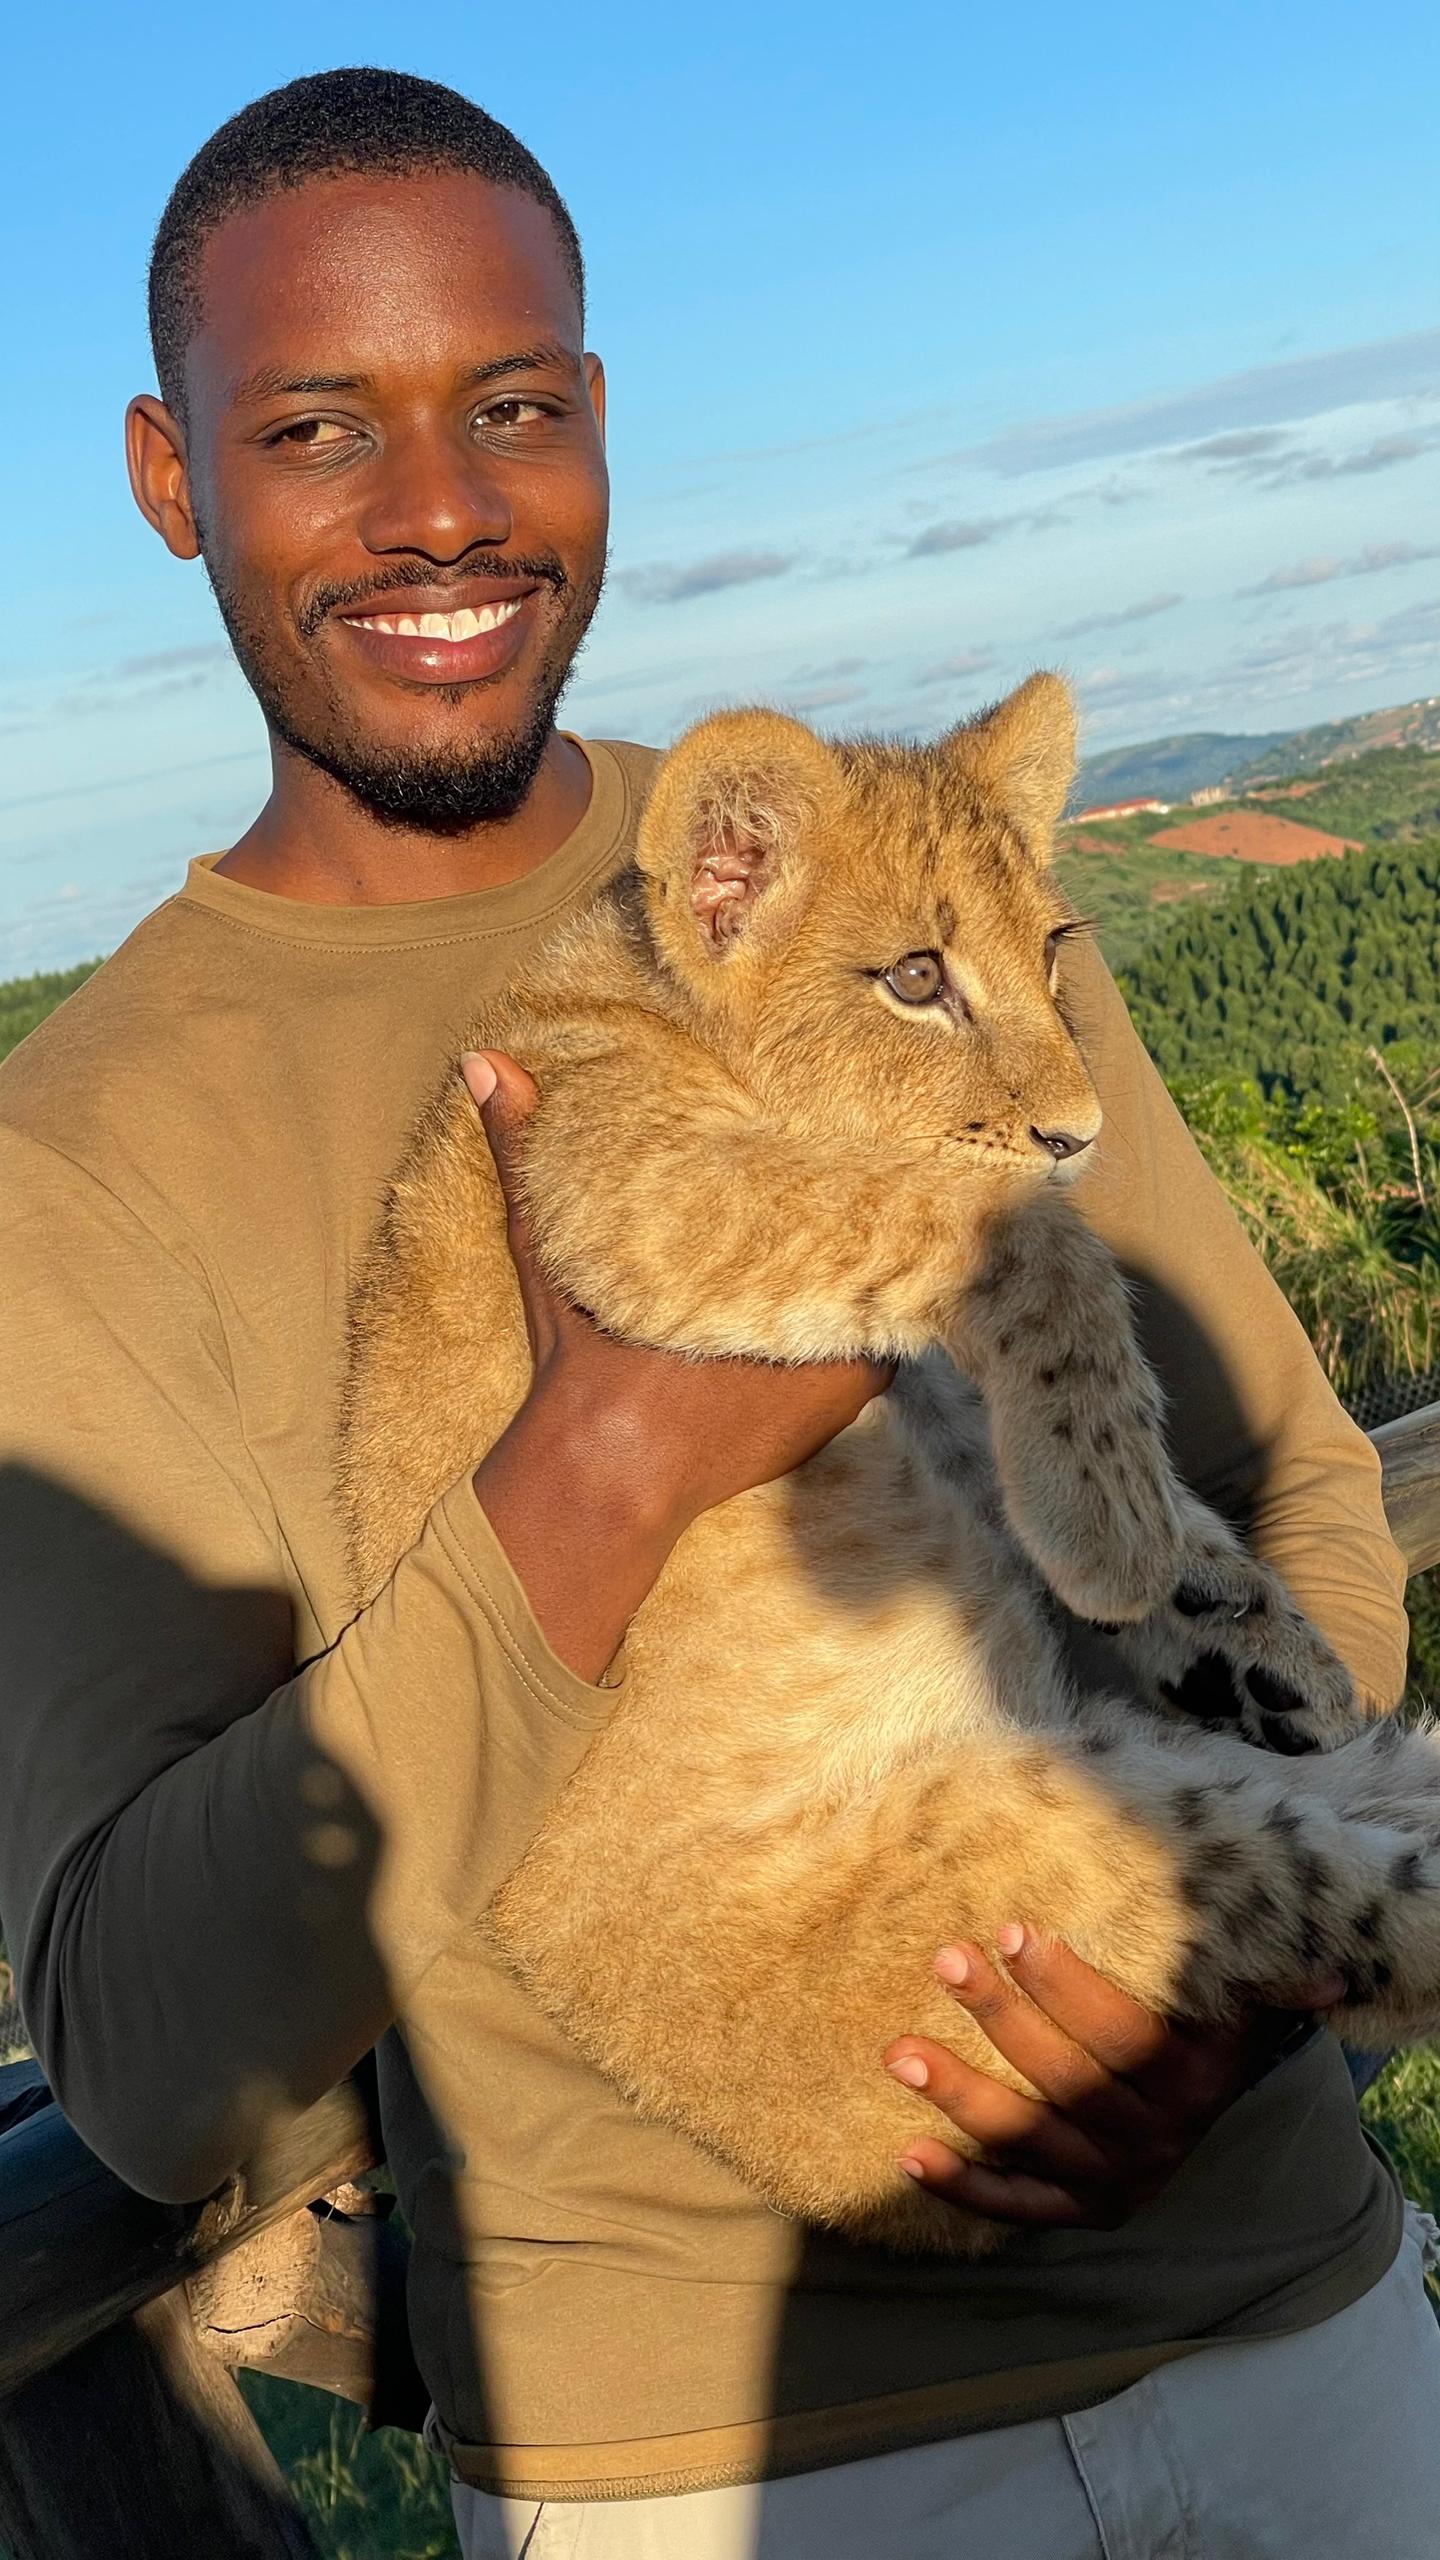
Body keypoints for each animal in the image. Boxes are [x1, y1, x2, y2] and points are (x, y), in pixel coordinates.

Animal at [340, 671, 1440, 2256]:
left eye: (1051, 948)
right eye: (917, 979)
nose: (1079, 1132)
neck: (652, 1002)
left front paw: (1248, 1632)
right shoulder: (632, 1203)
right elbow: (1011, 1229)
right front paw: (1111, 1537)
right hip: (1089, 1864)